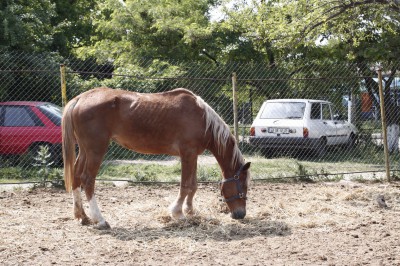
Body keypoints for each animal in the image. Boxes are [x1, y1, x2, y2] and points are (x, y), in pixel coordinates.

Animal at [62, 87, 250, 229]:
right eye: (244, 187)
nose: (240, 214)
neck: (203, 119)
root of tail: (80, 98)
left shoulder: (193, 155)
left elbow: (193, 185)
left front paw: (189, 210)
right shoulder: (187, 154)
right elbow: (185, 185)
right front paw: (177, 213)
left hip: (84, 151)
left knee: (76, 176)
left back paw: (82, 217)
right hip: (96, 150)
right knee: (88, 180)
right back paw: (100, 220)